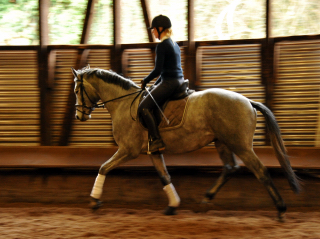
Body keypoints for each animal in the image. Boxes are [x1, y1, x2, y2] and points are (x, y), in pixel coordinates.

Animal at [72, 66, 300, 219]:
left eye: (76, 91)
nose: (79, 116)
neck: (123, 102)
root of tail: (248, 101)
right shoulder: (154, 152)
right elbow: (164, 177)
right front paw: (173, 205)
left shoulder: (128, 150)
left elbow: (103, 167)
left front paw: (94, 201)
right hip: (222, 142)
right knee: (230, 168)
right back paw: (205, 201)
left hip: (240, 145)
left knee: (260, 171)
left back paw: (281, 209)